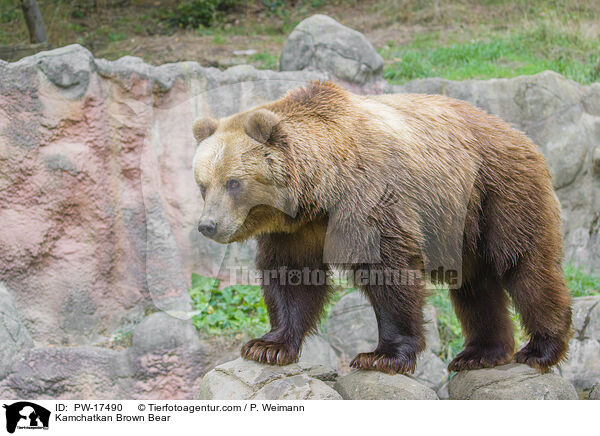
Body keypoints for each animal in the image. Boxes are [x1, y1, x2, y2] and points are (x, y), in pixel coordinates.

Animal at [191, 80, 572, 372]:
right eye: (203, 185)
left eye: (233, 182)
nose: (208, 225)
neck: (322, 192)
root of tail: (520, 134)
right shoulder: (295, 231)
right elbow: (291, 276)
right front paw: (267, 346)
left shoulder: (371, 200)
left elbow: (389, 272)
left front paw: (382, 355)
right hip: (463, 225)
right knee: (475, 284)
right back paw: (480, 353)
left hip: (498, 192)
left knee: (526, 265)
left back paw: (541, 348)